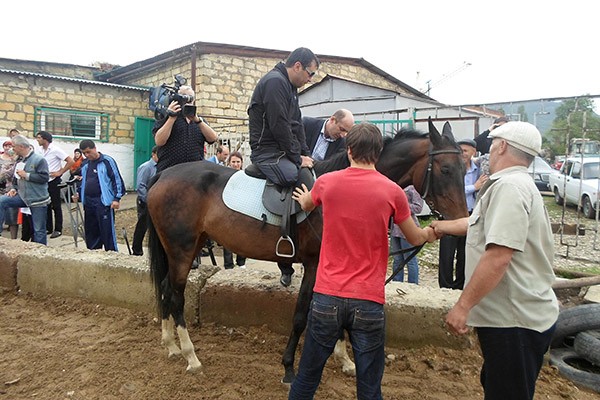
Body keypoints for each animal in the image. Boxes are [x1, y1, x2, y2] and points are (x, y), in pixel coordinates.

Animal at [146, 119, 468, 382]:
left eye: (465, 168)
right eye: (446, 169)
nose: (462, 222)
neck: (348, 190)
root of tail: (163, 176)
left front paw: (344, 359)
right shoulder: (314, 264)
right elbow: (302, 314)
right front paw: (289, 367)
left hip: (189, 246)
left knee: (165, 288)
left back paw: (171, 345)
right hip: (181, 250)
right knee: (176, 295)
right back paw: (190, 355)